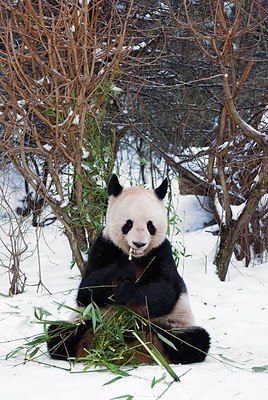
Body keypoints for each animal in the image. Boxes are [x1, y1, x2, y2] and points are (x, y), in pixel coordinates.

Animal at [47, 174, 209, 362]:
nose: (139, 243)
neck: (137, 257)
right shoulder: (103, 247)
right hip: (86, 320)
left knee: (192, 340)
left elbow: (164, 291)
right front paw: (124, 269)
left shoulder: (162, 253)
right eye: (128, 224)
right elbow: (87, 289)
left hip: (174, 324)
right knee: (58, 334)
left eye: (150, 225)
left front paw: (126, 290)